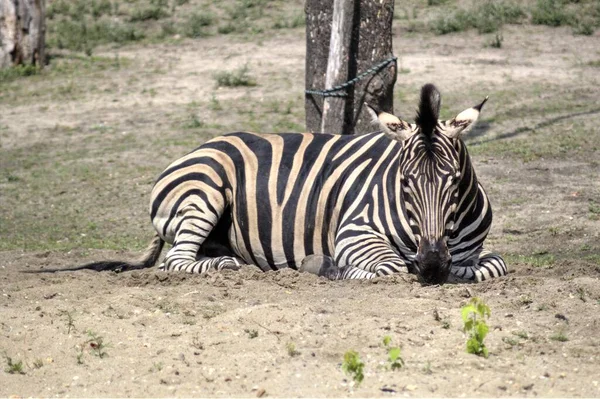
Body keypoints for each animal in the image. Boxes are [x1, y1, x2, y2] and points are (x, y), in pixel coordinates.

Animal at [43, 84, 506, 284]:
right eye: (405, 182)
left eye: (453, 183)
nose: (432, 265)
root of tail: (198, 147)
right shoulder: (354, 231)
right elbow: (389, 266)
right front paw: (332, 268)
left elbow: (491, 265)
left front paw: (459, 269)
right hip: (205, 191)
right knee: (175, 260)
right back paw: (223, 267)